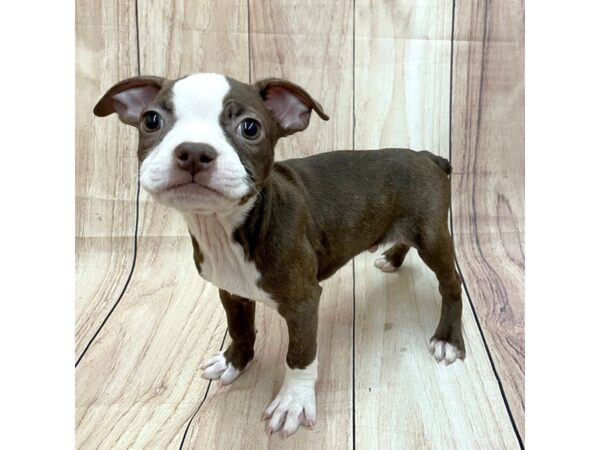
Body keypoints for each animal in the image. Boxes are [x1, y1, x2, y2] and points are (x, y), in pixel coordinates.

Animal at [94, 73, 464, 436]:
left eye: (249, 128)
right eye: (151, 120)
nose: (194, 151)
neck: (227, 229)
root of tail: (427, 155)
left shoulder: (303, 302)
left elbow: (300, 354)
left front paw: (293, 403)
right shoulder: (231, 292)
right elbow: (240, 329)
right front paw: (234, 361)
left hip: (433, 236)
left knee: (451, 283)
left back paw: (447, 338)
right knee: (405, 241)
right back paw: (392, 257)